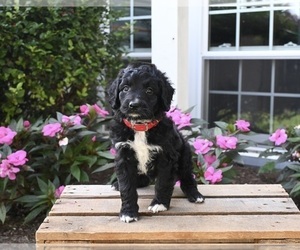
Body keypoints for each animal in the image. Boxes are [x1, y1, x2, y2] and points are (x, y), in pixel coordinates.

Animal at [106, 62, 204, 223]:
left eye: (150, 90)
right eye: (125, 88)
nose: (134, 105)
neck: (141, 126)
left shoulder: (167, 156)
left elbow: (163, 182)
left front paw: (159, 204)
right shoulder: (124, 155)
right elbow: (127, 186)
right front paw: (128, 212)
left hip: (184, 154)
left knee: (187, 176)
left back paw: (195, 195)